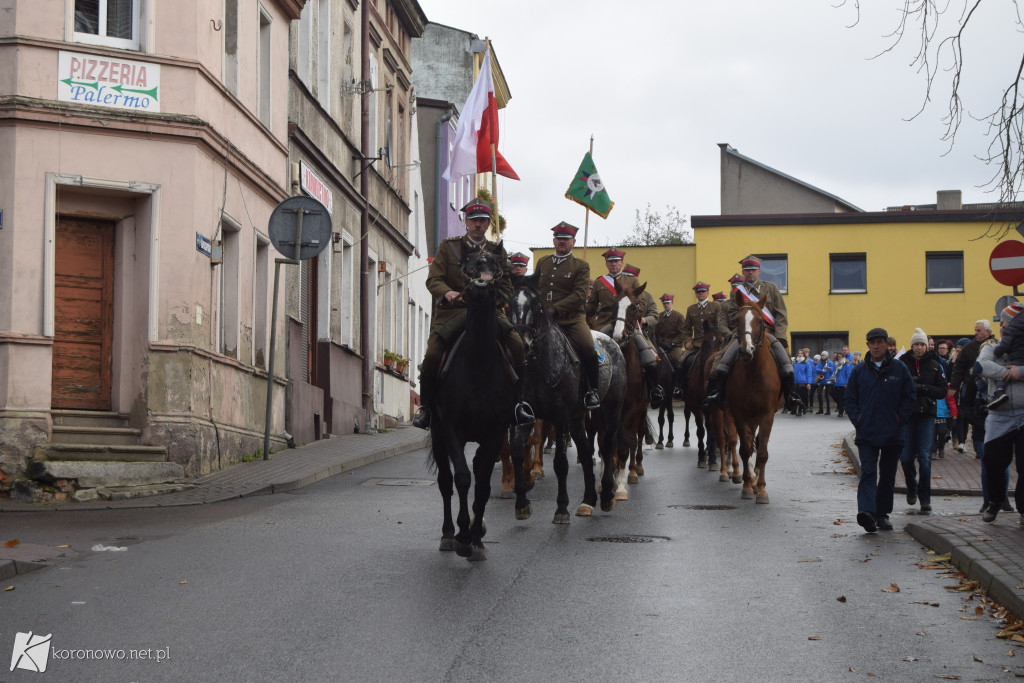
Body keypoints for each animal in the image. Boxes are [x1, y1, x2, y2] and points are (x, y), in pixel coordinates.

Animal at [720, 290, 782, 505]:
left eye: (760, 321)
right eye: (737, 319)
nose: (746, 350)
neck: (754, 373)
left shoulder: (767, 414)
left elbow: (762, 451)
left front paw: (761, 490)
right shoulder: (739, 413)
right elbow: (745, 449)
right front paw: (748, 486)